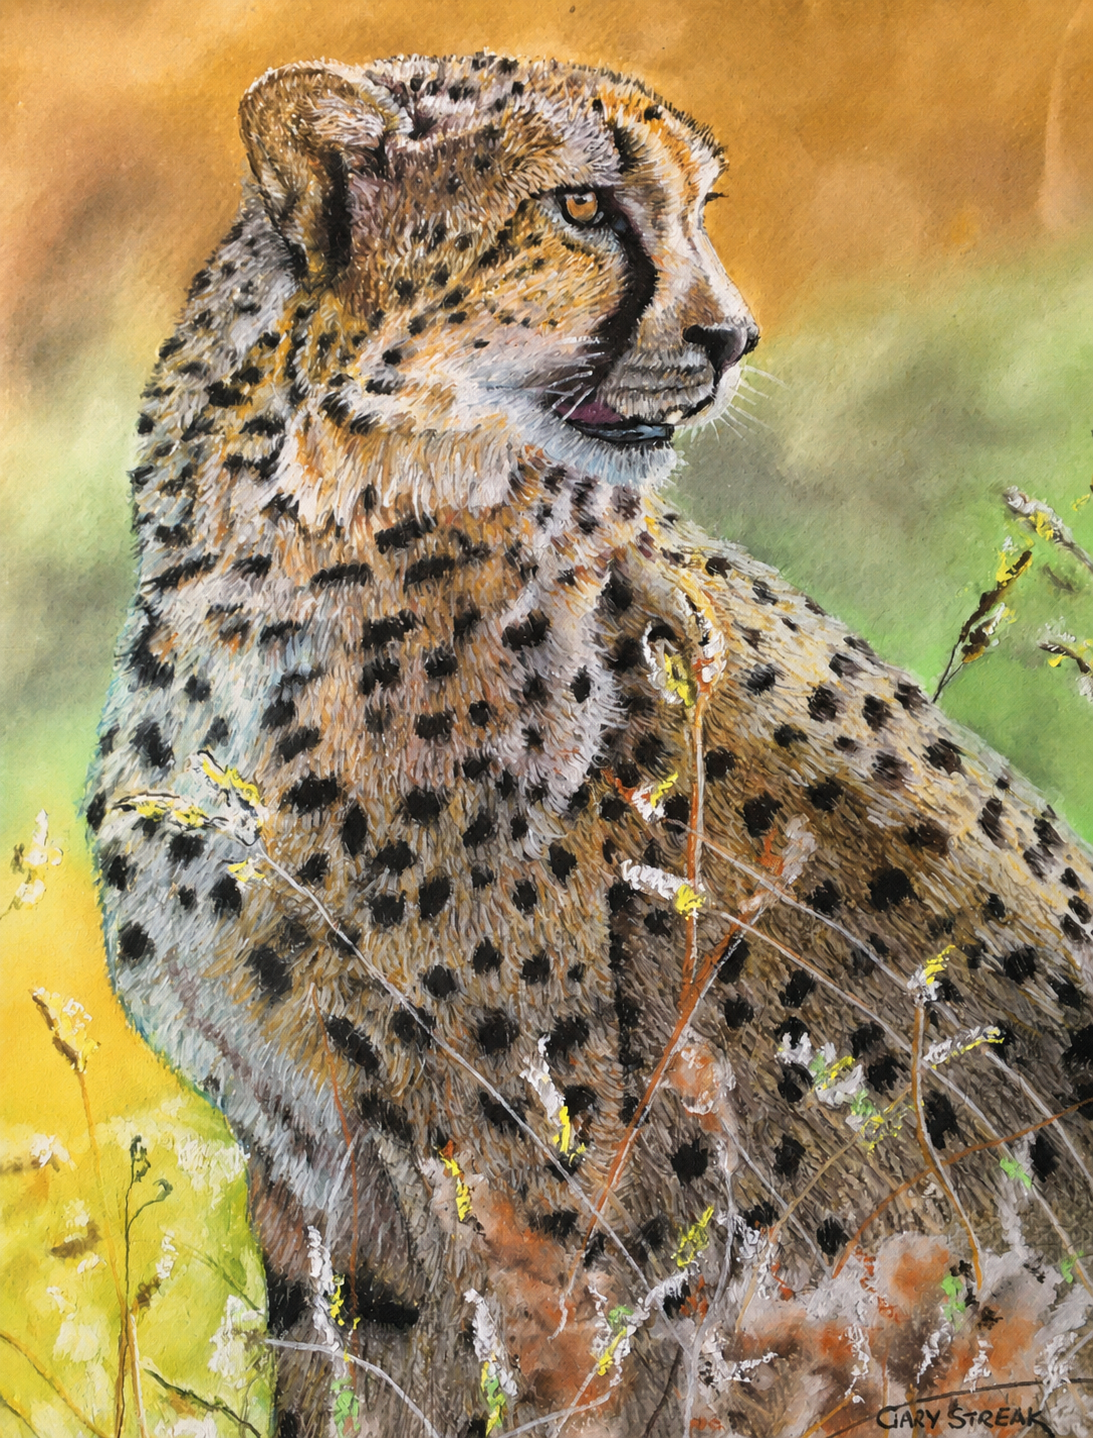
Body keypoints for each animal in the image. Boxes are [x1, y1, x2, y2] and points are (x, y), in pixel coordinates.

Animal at [87, 52, 1093, 1438]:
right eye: (579, 206)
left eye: (698, 206)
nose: (732, 338)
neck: (300, 540)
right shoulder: (323, 1182)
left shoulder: (540, 1191)